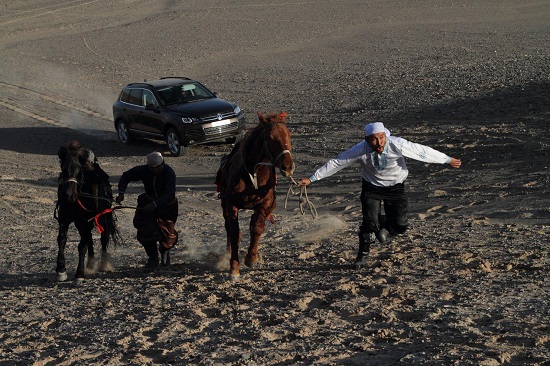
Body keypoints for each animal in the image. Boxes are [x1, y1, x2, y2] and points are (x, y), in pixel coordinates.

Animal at [55, 140, 118, 284]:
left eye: (79, 170)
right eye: (64, 169)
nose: (69, 195)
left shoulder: (86, 221)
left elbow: (82, 246)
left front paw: (79, 274)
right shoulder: (64, 219)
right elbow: (62, 239)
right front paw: (61, 270)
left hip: (102, 218)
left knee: (103, 238)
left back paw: (103, 264)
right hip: (81, 224)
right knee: (89, 238)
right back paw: (90, 264)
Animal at [216, 111, 296, 280]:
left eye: (289, 135)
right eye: (270, 137)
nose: (288, 167)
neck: (253, 174)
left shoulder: (266, 203)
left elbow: (257, 228)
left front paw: (251, 258)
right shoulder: (230, 203)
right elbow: (234, 232)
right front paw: (234, 268)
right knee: (228, 229)